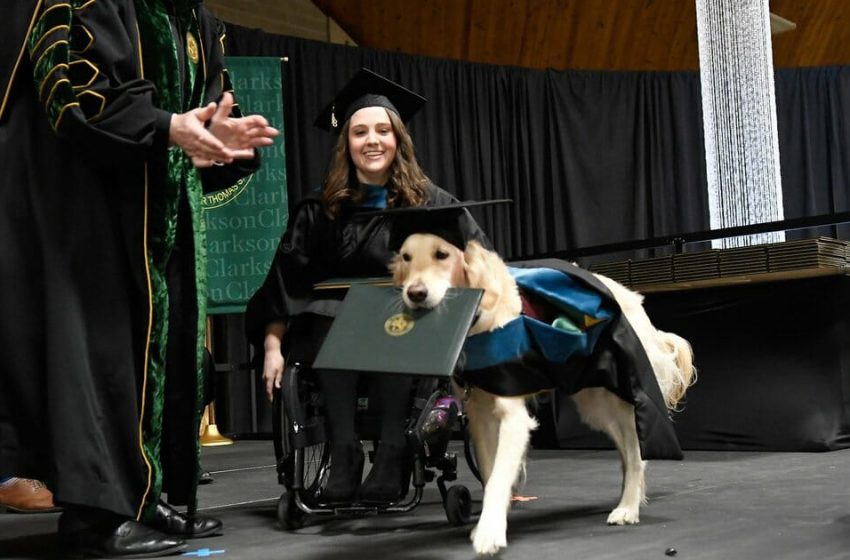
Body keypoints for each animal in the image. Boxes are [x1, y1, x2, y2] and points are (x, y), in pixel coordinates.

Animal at [388, 232, 692, 556]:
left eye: (442, 254)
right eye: (406, 257)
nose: (415, 294)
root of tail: (633, 298)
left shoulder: (513, 416)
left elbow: (498, 476)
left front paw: (489, 533)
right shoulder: (480, 416)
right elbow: (490, 470)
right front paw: (490, 521)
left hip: (618, 397)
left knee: (636, 452)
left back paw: (628, 507)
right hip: (594, 403)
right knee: (626, 450)